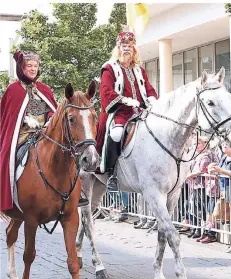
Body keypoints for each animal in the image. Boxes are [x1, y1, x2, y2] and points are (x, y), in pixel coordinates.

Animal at [1, 81, 99, 279]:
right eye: (71, 119)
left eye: (94, 117)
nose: (91, 160)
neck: (54, 170)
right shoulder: (31, 219)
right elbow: (28, 257)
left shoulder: (70, 218)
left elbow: (73, 262)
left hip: (16, 214)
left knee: (10, 233)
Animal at [76, 68, 231, 279]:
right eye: (210, 102)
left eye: (228, 97)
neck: (167, 138)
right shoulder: (153, 194)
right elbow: (172, 235)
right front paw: (179, 273)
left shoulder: (172, 195)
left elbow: (162, 234)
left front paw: (158, 271)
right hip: (85, 183)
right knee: (87, 221)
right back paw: (98, 266)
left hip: (99, 186)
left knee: (87, 219)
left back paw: (78, 254)